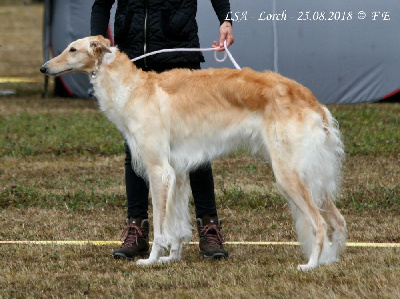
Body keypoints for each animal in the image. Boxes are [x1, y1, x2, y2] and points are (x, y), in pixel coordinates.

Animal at [41, 35, 346, 272]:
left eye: (72, 49)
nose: (44, 68)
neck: (134, 89)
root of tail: (311, 100)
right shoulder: (176, 172)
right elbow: (176, 223)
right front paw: (171, 257)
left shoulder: (158, 170)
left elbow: (161, 225)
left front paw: (152, 260)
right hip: (311, 176)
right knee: (338, 220)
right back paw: (329, 260)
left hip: (287, 175)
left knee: (320, 224)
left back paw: (311, 265)